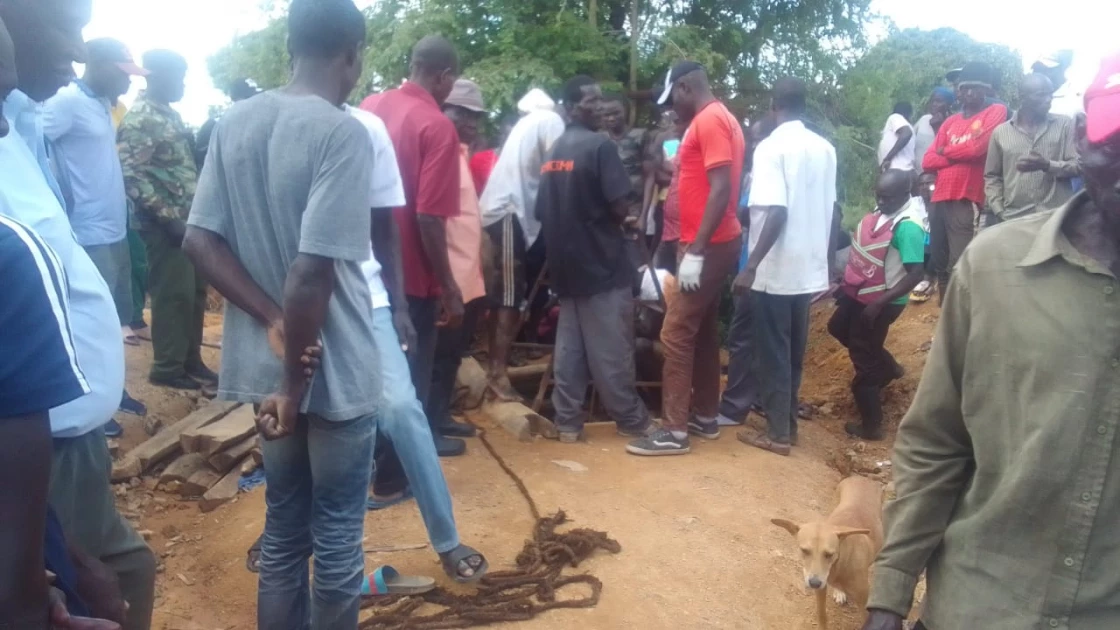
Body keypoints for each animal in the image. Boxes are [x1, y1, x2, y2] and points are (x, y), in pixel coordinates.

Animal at [770, 475, 882, 627]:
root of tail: (860, 477)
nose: (814, 583)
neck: (838, 565)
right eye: (804, 550)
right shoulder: (821, 590)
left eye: (830, 554)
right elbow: (822, 615)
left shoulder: (864, 604)